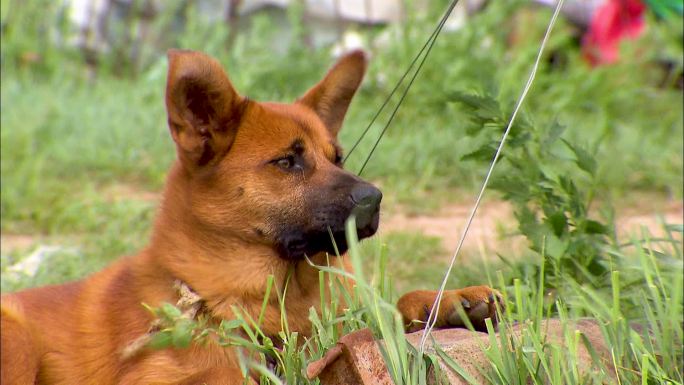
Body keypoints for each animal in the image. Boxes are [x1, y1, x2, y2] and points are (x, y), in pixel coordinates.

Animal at [1, 49, 502, 382]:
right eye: (287, 161)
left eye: (337, 157)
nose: (374, 199)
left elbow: (387, 310)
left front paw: (451, 301)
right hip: (19, 343)